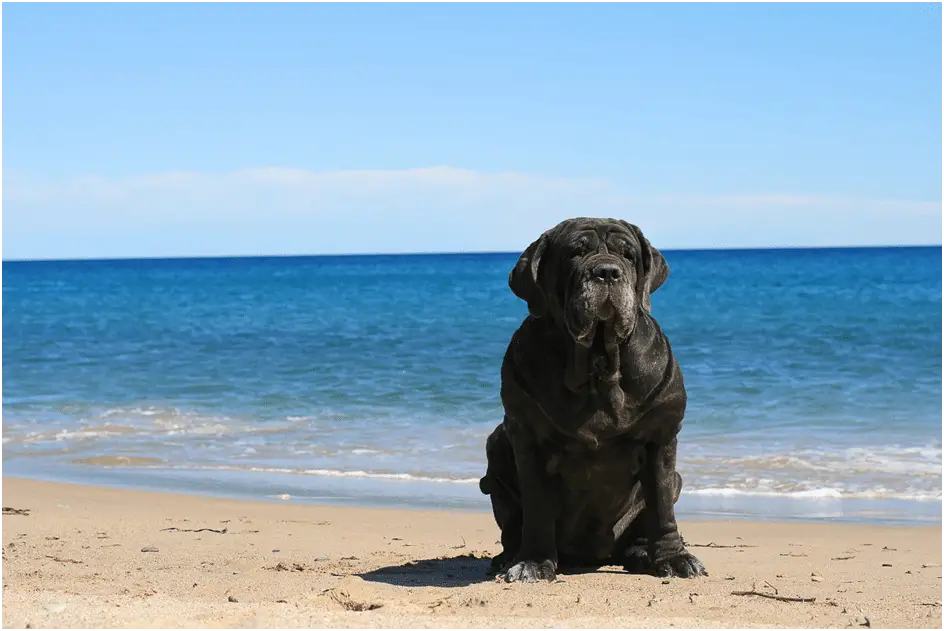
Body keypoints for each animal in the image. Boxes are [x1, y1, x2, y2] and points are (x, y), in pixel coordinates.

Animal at [476, 220, 704, 584]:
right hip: (496, 445)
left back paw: (642, 553)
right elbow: (537, 505)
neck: (597, 362)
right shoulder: (526, 435)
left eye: (628, 254)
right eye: (575, 253)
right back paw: (507, 557)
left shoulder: (661, 436)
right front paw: (533, 562)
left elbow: (662, 504)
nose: (607, 272)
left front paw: (675, 557)